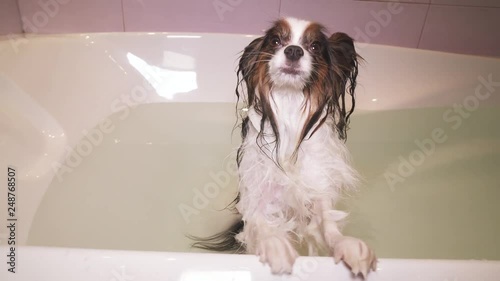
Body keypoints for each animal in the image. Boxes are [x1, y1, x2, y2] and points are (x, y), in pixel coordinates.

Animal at [193, 18, 376, 278]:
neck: (289, 110)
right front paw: (276, 245)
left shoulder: (317, 190)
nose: (294, 50)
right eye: (276, 41)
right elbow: (260, 222)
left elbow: (328, 224)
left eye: (314, 47)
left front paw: (348, 245)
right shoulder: (258, 192)